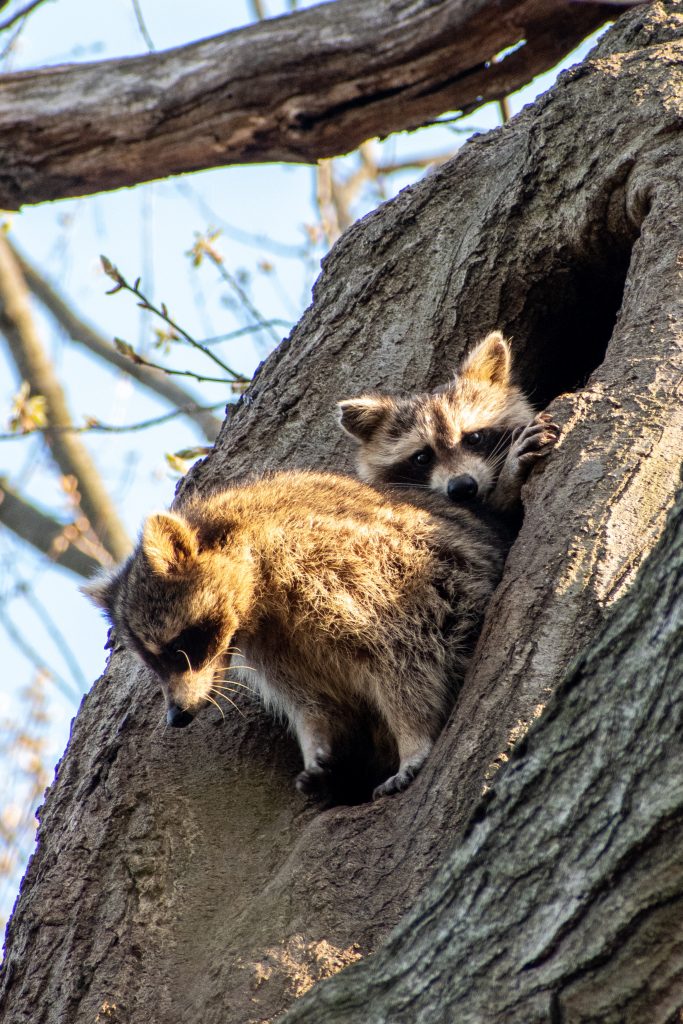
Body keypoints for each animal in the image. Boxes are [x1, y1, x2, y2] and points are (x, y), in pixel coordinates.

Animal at [85, 471, 509, 801]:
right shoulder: (272, 644)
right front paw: (318, 743)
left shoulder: (353, 568)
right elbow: (314, 701)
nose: (176, 716)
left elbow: (406, 654)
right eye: (153, 663)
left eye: (178, 647)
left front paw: (414, 740)